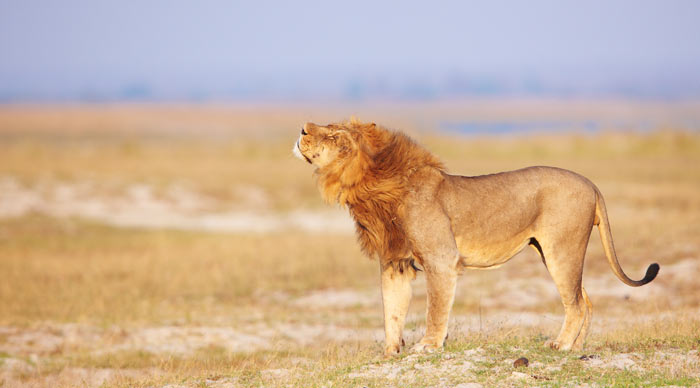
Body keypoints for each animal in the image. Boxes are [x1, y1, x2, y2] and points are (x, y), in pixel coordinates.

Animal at [292, 118, 660, 354]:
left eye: (335, 135)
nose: (303, 128)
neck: (373, 187)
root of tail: (591, 184)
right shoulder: (395, 262)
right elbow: (391, 311)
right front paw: (389, 353)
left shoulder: (441, 260)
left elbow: (435, 307)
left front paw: (429, 345)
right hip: (553, 251)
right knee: (586, 299)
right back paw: (579, 348)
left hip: (562, 249)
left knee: (576, 304)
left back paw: (561, 345)